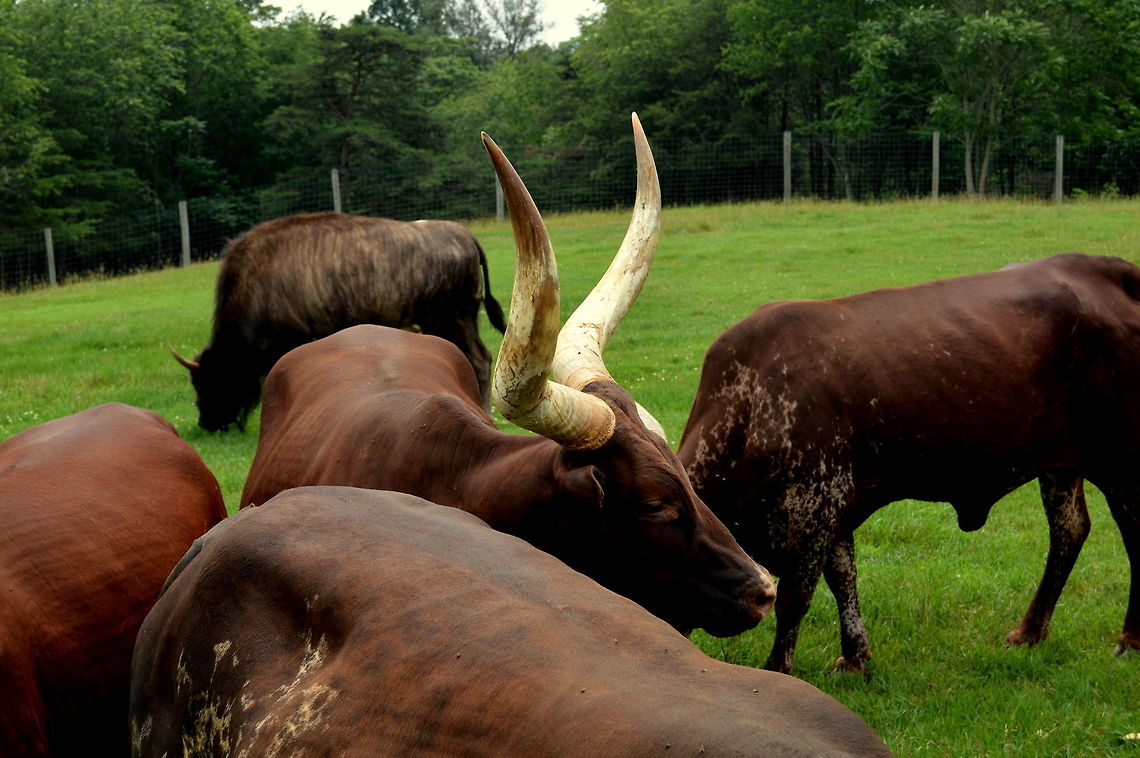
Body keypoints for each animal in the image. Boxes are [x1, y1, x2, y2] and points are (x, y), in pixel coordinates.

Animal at [171, 211, 506, 431]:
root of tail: (465, 235)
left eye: (206, 380)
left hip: (451, 319)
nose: (206, 422)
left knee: (479, 359)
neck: (257, 281)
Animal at [677, 252, 1140, 675]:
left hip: (1120, 459)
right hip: (1060, 464)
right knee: (1069, 531)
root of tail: (1100, 267)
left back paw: (1129, 639)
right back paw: (1029, 632)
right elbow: (844, 580)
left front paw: (778, 671)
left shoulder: (814, 511)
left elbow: (794, 600)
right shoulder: (833, 512)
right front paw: (856, 657)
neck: (748, 403)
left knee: (1133, 532)